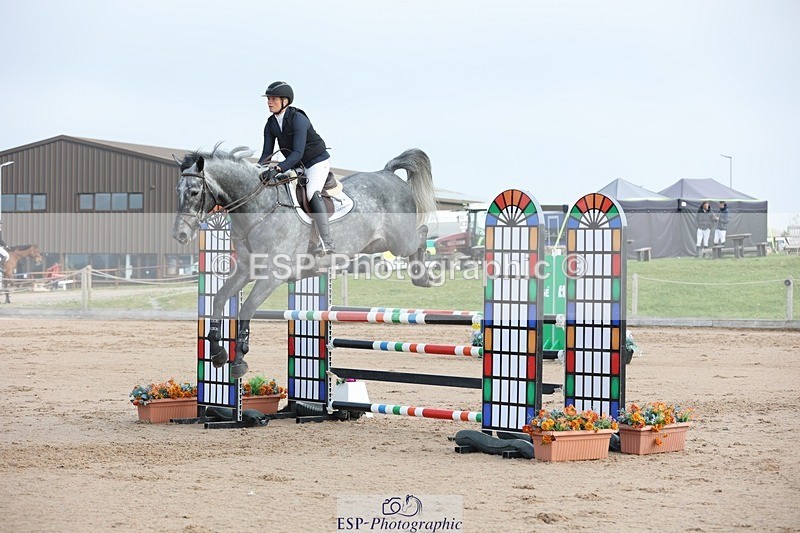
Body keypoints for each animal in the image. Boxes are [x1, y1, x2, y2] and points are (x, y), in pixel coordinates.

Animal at [172, 146, 438, 379]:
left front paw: (239, 361)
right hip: (377, 244)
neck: (259, 208)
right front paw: (217, 352)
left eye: (194, 192)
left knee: (422, 234)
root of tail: (388, 173)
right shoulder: (247, 270)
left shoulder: (272, 276)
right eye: (178, 190)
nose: (180, 235)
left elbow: (246, 309)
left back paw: (424, 277)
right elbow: (218, 298)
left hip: (399, 242)